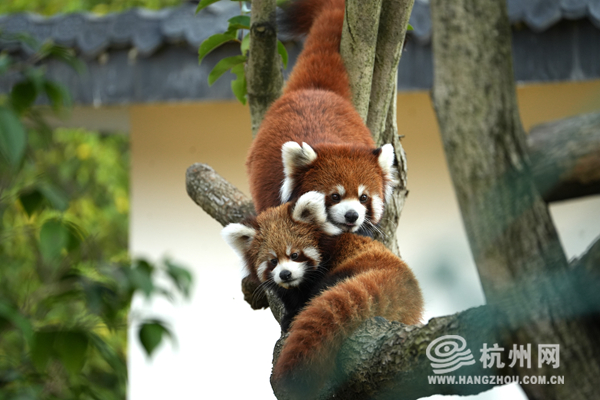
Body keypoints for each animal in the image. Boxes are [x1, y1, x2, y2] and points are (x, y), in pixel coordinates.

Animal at [220, 192, 422, 396]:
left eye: (294, 255)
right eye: (273, 261)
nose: (285, 274)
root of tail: (406, 286)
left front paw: (293, 316)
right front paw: (289, 313)